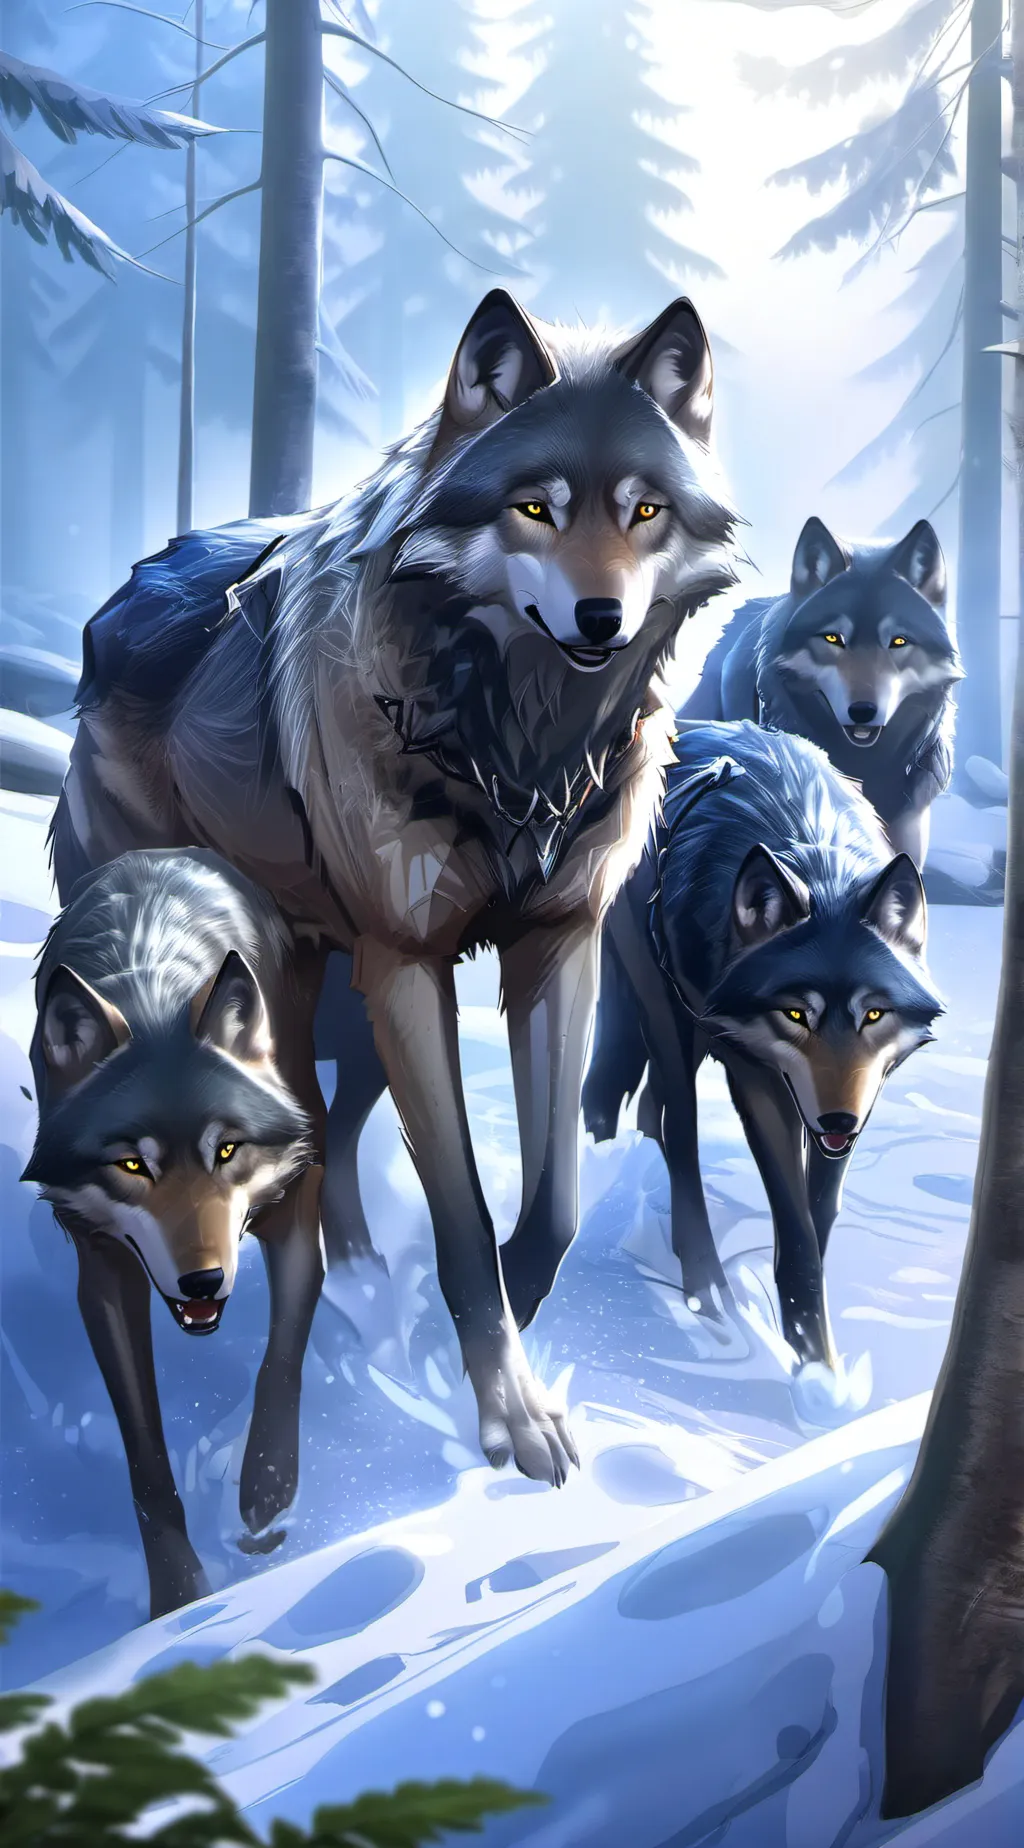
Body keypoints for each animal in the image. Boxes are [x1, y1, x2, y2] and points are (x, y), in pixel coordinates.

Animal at [23, 849, 326, 1617]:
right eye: (134, 1164)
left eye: (227, 1150)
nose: (204, 1280)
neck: (154, 985)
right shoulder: (103, 1269)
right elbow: (146, 1465)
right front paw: (179, 1601)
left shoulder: (297, 1195)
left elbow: (283, 1355)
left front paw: (267, 1491)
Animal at [49, 289, 739, 1483]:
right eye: (536, 509)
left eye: (643, 510)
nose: (600, 618)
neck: (521, 748)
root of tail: (118, 597)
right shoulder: (412, 967)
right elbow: (458, 1213)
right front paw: (507, 1409)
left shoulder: (560, 946)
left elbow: (553, 1202)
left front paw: (500, 1300)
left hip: (327, 1003)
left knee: (329, 1132)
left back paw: (361, 1275)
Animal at [582, 720, 943, 1373]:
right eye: (796, 1014)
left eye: (872, 1014)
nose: (838, 1120)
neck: (810, 848)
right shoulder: (754, 1072)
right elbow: (796, 1231)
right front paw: (817, 1373)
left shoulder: (859, 1097)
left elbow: (817, 1218)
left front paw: (810, 1349)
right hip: (665, 1014)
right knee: (676, 1127)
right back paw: (703, 1288)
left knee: (649, 1110)